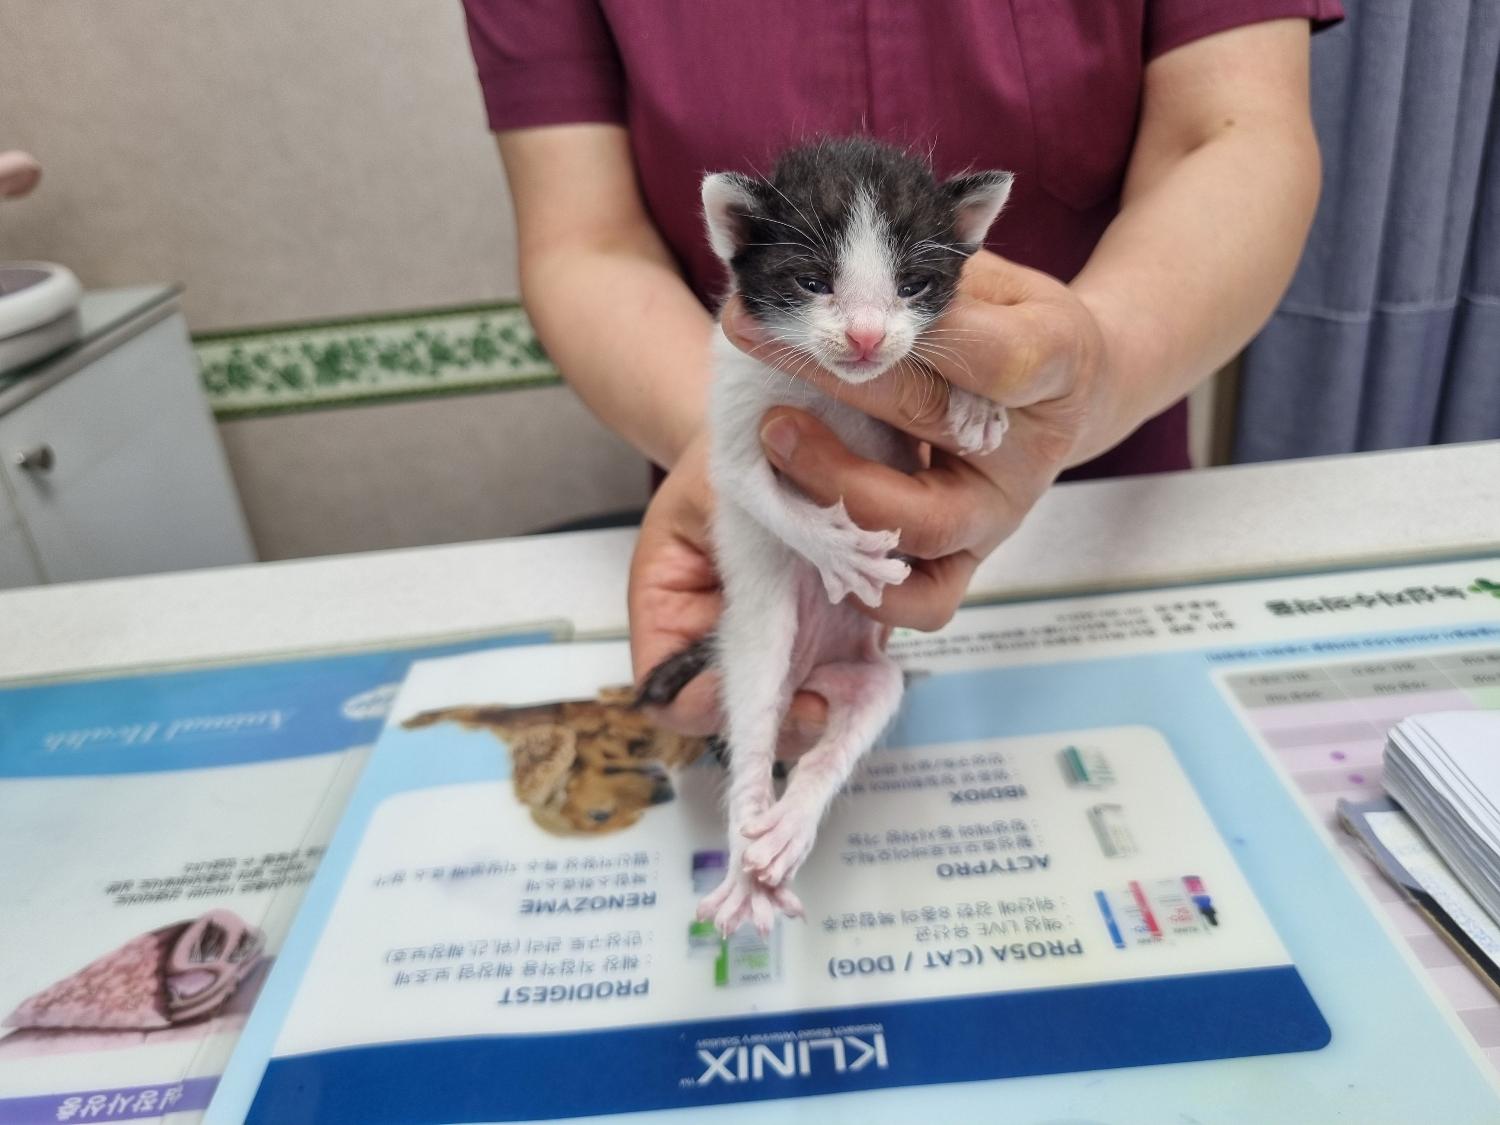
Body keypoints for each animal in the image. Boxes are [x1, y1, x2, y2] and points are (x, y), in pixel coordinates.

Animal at [642, 136, 1008, 936]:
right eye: (812, 282)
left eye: (912, 284)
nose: (867, 336)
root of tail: (807, 672)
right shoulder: (735, 418)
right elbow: (759, 491)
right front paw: (840, 550)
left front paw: (977, 403)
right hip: (756, 640)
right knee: (753, 726)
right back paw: (747, 849)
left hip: (870, 677)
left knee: (854, 721)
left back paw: (791, 822)